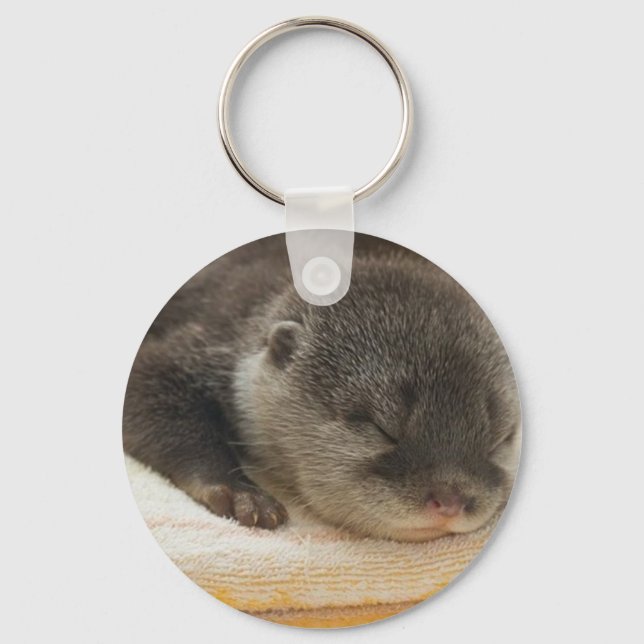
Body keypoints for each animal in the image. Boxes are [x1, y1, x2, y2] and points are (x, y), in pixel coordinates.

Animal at [123, 233, 520, 542]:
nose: (451, 500)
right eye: (381, 428)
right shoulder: (206, 338)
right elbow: (148, 387)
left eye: (498, 439)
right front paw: (241, 492)